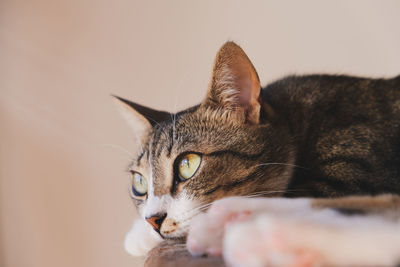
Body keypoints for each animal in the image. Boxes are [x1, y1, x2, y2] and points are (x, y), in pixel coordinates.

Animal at [114, 40, 398, 264]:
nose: (153, 220)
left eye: (188, 164)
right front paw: (141, 232)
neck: (296, 122)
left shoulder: (352, 166)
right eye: (139, 183)